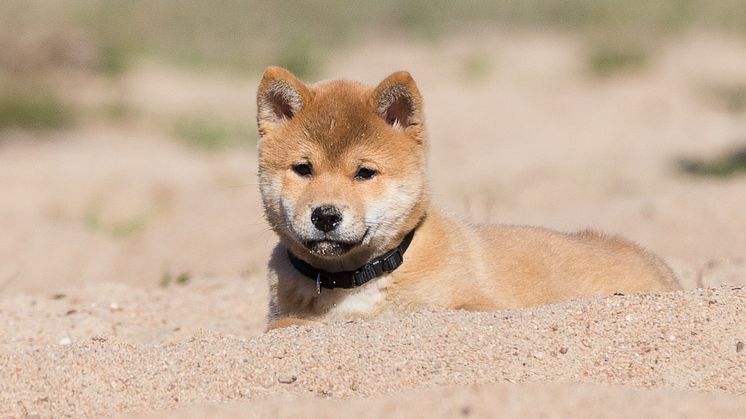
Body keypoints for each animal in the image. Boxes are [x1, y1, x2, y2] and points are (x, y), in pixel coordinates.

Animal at [256, 66, 680, 332]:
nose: (325, 216)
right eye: (303, 169)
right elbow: (286, 323)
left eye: (364, 173)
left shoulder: (480, 305)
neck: (355, 280)